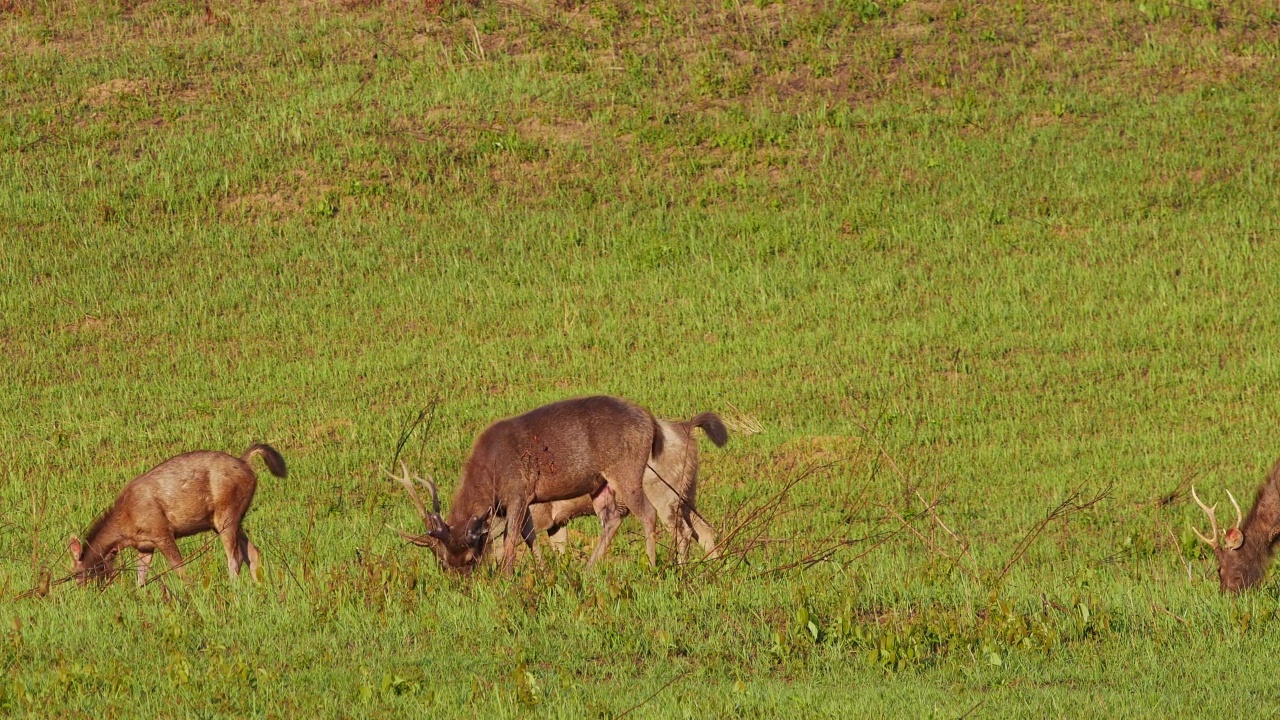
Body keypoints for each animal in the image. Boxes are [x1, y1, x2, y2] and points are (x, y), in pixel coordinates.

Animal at [67, 443, 285, 584]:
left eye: (79, 574)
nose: (85, 592)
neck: (124, 530)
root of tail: (246, 462)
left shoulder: (161, 532)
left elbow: (180, 570)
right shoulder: (145, 545)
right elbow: (141, 577)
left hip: (227, 512)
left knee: (235, 558)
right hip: (227, 519)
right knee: (253, 552)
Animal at [384, 392, 665, 571]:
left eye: (470, 559)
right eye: (442, 562)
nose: (462, 587)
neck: (490, 476)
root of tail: (651, 421)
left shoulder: (517, 491)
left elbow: (509, 539)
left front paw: (505, 578)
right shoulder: (527, 498)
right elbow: (529, 536)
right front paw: (542, 572)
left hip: (626, 468)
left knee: (648, 512)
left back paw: (652, 566)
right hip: (599, 484)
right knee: (612, 518)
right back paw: (588, 569)